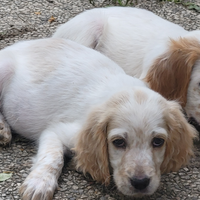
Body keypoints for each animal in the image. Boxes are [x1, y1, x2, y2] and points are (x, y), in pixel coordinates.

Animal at [0, 38, 197, 199]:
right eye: (118, 142)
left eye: (158, 141)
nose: (140, 183)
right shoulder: (57, 132)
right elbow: (52, 157)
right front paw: (39, 183)